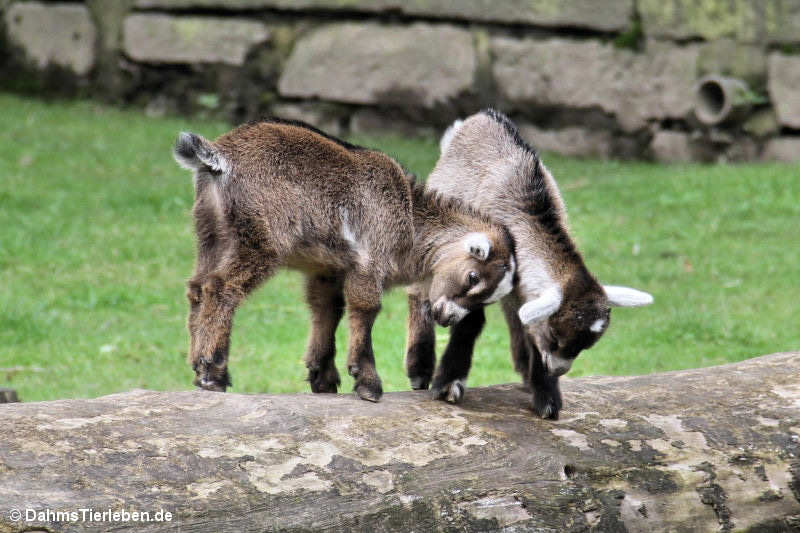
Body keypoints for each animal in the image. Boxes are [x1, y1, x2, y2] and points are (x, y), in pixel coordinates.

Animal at [173, 118, 516, 402]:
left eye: (488, 298)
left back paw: (196, 367)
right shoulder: (369, 260)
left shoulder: (327, 270)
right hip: (259, 239)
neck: (409, 217)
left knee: (196, 288)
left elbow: (327, 309)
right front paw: (367, 383)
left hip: (211, 233)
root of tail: (218, 156)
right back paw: (214, 372)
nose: (446, 317)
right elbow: (365, 308)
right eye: (473, 276)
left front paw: (322, 378)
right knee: (222, 287)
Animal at [405, 109, 652, 418]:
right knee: (419, 290)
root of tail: (476, 120)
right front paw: (449, 383)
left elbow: (525, 324)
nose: (558, 370)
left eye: (585, 346)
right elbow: (471, 321)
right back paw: (419, 368)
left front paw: (546, 395)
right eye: (555, 335)